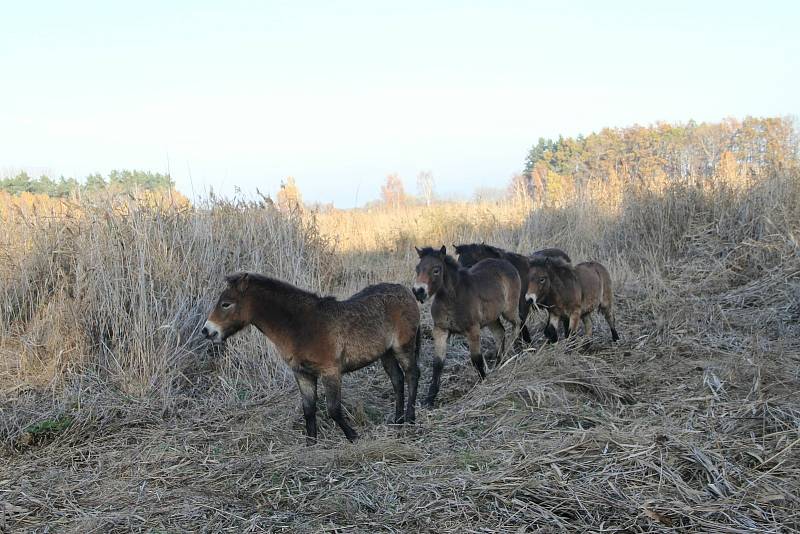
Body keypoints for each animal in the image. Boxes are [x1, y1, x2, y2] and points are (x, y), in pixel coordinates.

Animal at [203, 274, 422, 446]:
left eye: (226, 304)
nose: (207, 331)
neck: (301, 326)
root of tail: (406, 291)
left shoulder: (330, 372)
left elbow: (333, 409)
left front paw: (353, 436)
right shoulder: (303, 374)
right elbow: (308, 409)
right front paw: (311, 444)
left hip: (403, 347)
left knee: (412, 375)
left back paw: (410, 420)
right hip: (386, 353)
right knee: (397, 379)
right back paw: (398, 420)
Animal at [412, 247, 524, 406]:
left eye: (436, 270)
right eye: (417, 269)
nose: (418, 291)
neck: (452, 298)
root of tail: (507, 264)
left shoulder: (473, 330)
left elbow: (476, 359)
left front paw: (483, 382)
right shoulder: (440, 330)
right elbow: (437, 363)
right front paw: (429, 398)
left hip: (509, 310)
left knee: (517, 323)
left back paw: (508, 351)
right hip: (491, 318)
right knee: (500, 332)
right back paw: (499, 361)